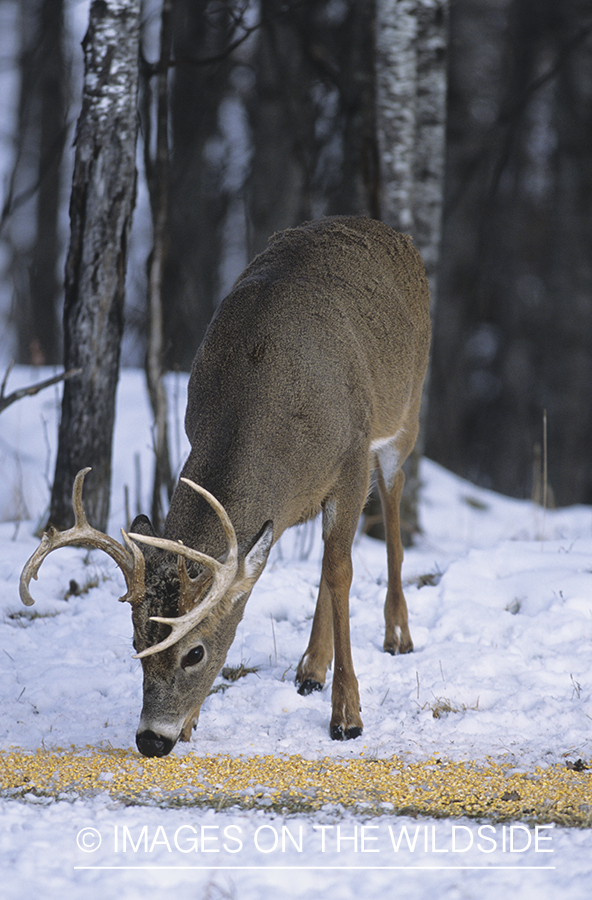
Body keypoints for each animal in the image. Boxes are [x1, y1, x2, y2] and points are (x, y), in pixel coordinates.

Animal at [18, 214, 430, 756]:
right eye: (138, 644)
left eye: (194, 653)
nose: (151, 739)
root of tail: (383, 228)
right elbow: (323, 564)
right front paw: (193, 722)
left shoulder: (351, 458)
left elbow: (341, 571)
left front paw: (347, 717)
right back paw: (310, 669)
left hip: (406, 412)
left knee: (393, 502)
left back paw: (398, 634)